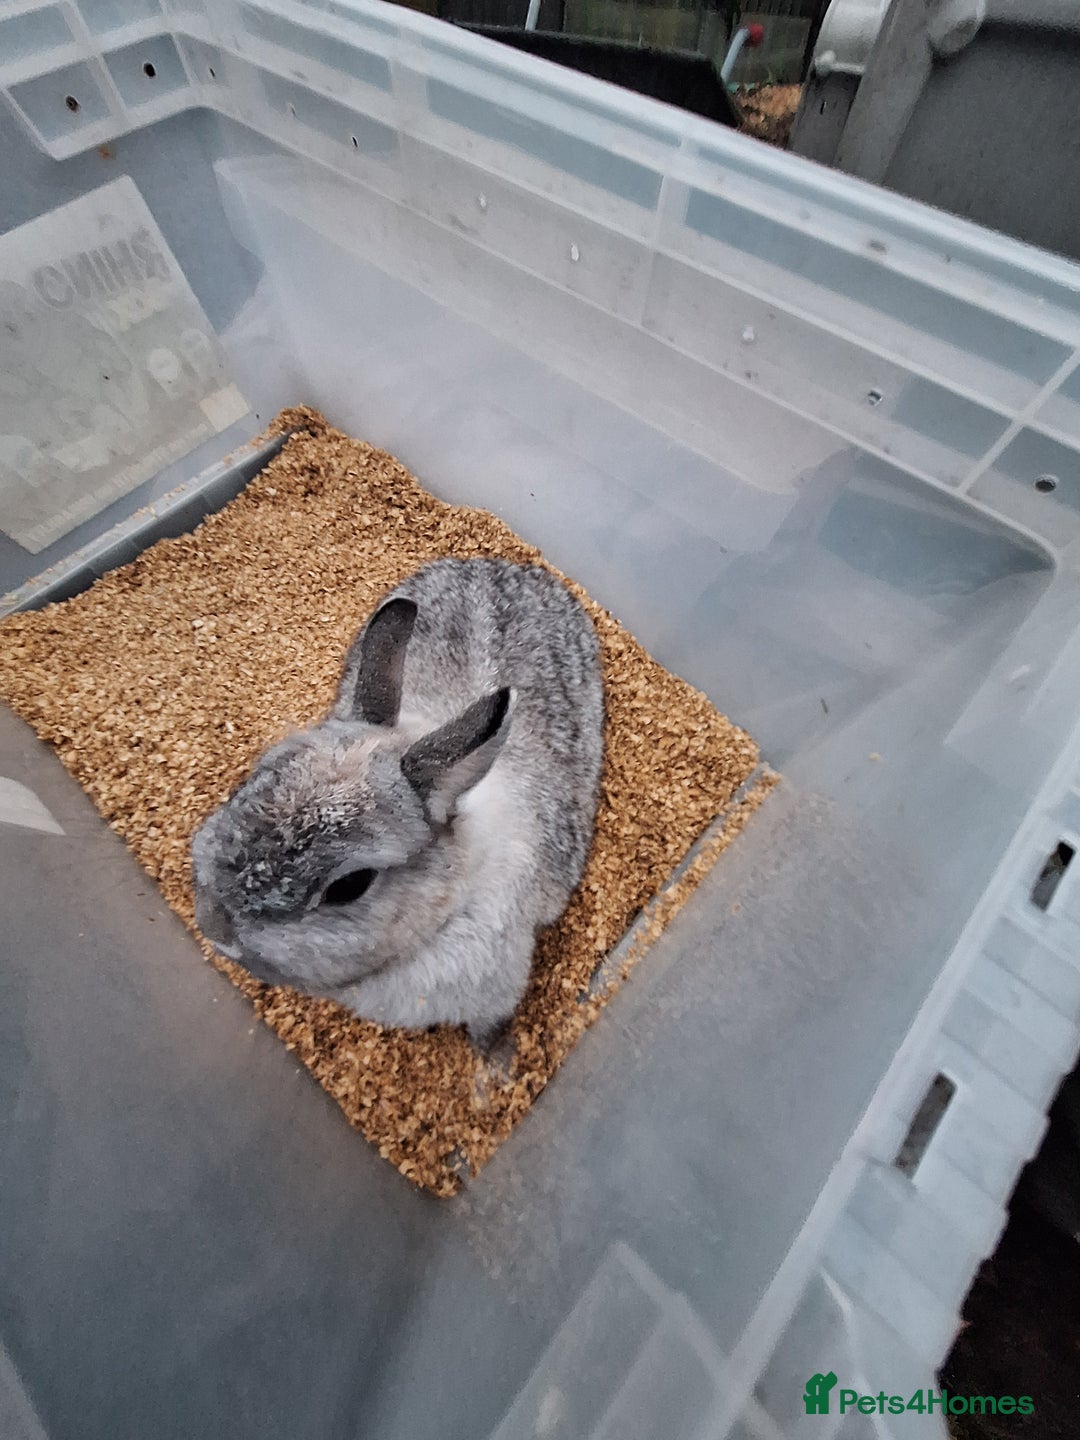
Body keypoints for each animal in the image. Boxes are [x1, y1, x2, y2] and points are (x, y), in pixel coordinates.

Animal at [191, 557, 604, 1044]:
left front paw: (495, 1064)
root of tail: (509, 564)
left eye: (350, 885)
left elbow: (491, 1029)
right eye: (248, 782)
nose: (213, 927)